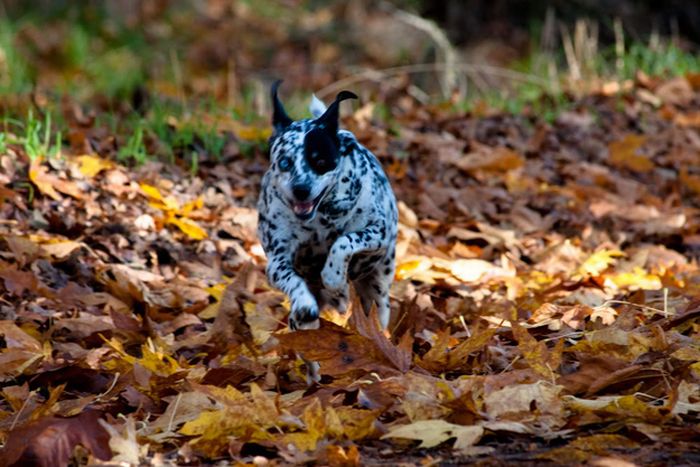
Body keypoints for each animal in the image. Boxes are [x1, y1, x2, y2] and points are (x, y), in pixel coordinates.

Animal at [258, 80, 400, 380]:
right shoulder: (277, 261)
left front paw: (333, 276)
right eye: (285, 162)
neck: (320, 218)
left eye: (320, 161)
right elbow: (290, 277)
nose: (301, 189)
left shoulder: (377, 232)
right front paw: (304, 300)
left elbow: (345, 240)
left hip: (378, 293)